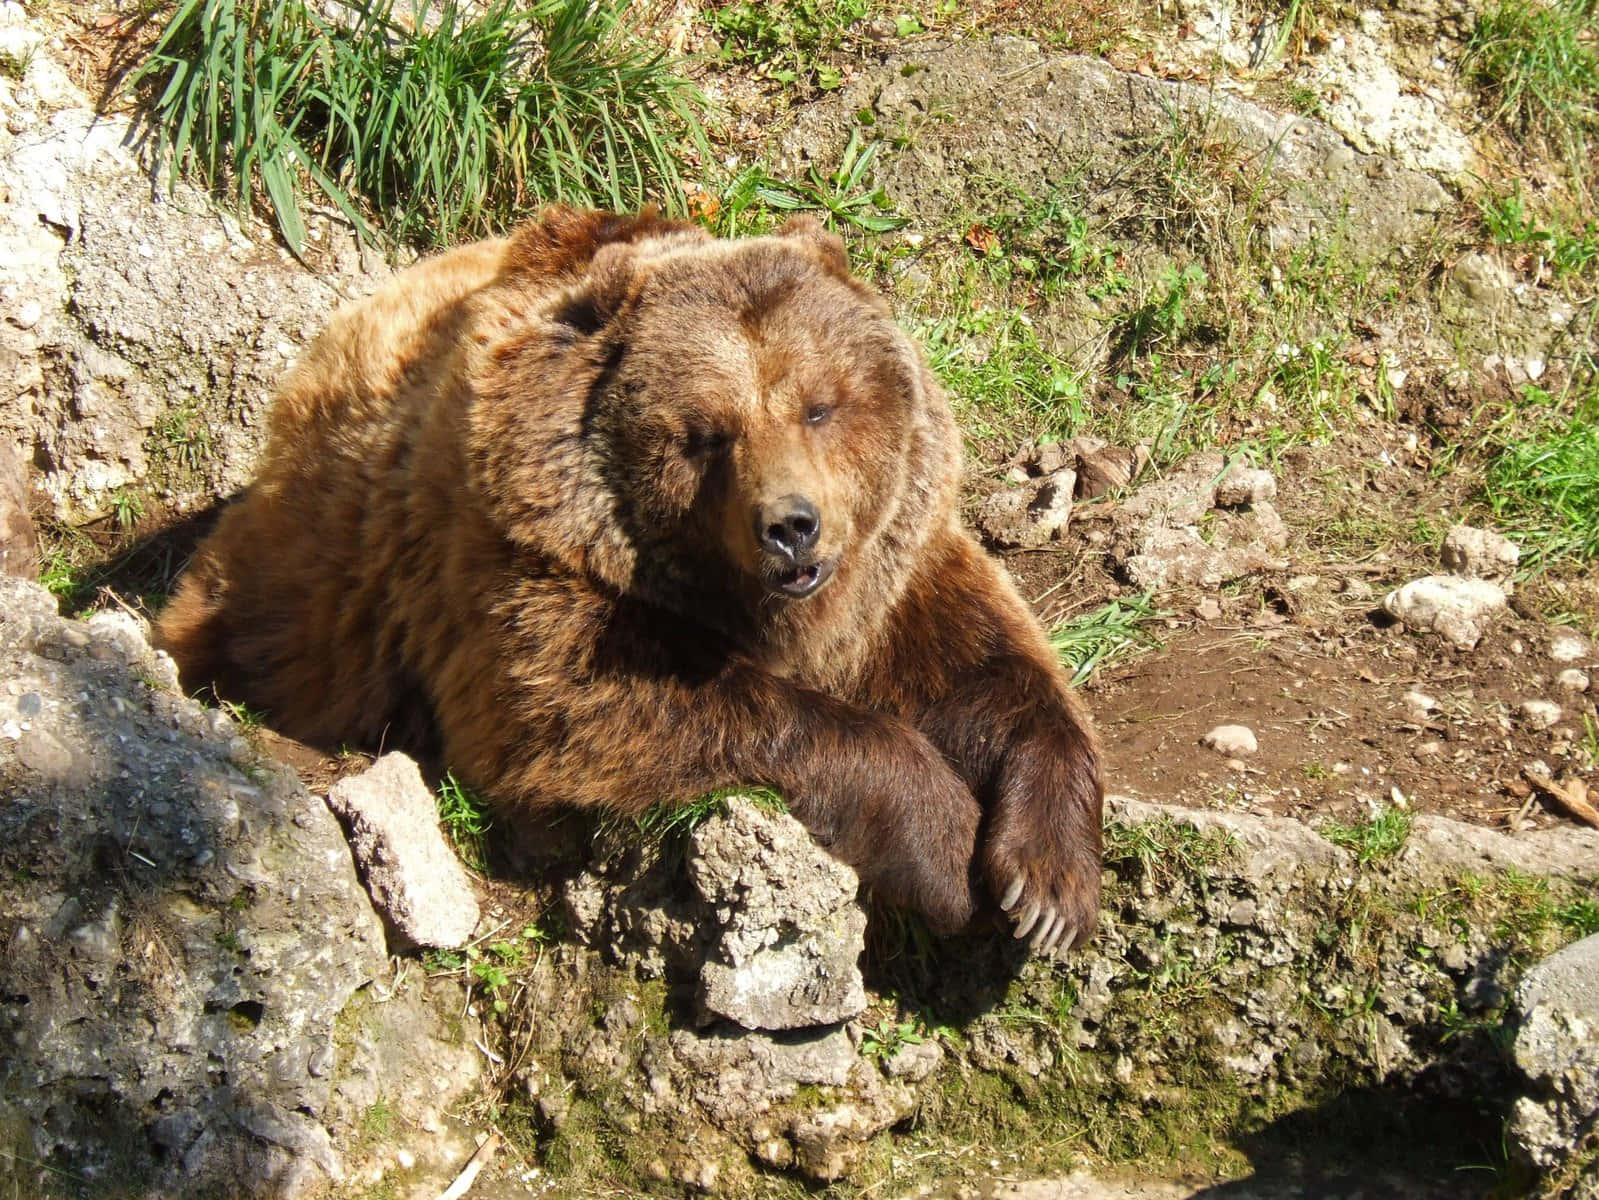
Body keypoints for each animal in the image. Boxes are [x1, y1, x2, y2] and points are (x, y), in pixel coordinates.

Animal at [155, 208, 1103, 954]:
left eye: (819, 405)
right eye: (705, 433)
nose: (789, 527)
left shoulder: (893, 574)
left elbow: (991, 670)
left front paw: (1043, 888)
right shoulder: (531, 567)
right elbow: (601, 703)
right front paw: (945, 843)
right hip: (314, 568)